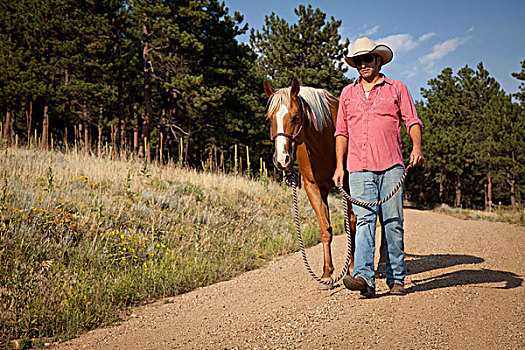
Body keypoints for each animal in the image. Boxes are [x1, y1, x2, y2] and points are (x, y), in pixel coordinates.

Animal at [264, 79, 386, 288]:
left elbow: (351, 225)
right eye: (270, 118)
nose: (281, 160)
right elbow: (325, 228)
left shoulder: (348, 187)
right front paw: (327, 273)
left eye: (295, 117)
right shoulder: (313, 188)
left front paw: (352, 268)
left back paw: (383, 265)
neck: (324, 141)